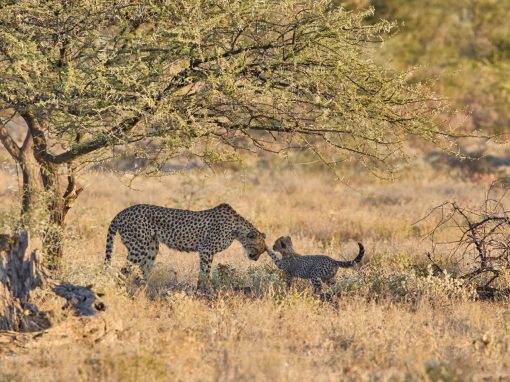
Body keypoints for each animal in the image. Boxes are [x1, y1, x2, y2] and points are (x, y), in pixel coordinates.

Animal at [106, 203, 268, 290]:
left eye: (262, 251)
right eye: (258, 248)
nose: (255, 259)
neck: (237, 229)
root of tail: (123, 212)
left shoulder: (205, 251)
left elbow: (202, 272)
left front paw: (200, 289)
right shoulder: (206, 250)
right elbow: (205, 271)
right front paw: (208, 290)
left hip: (152, 246)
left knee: (144, 268)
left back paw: (148, 287)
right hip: (137, 247)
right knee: (123, 271)